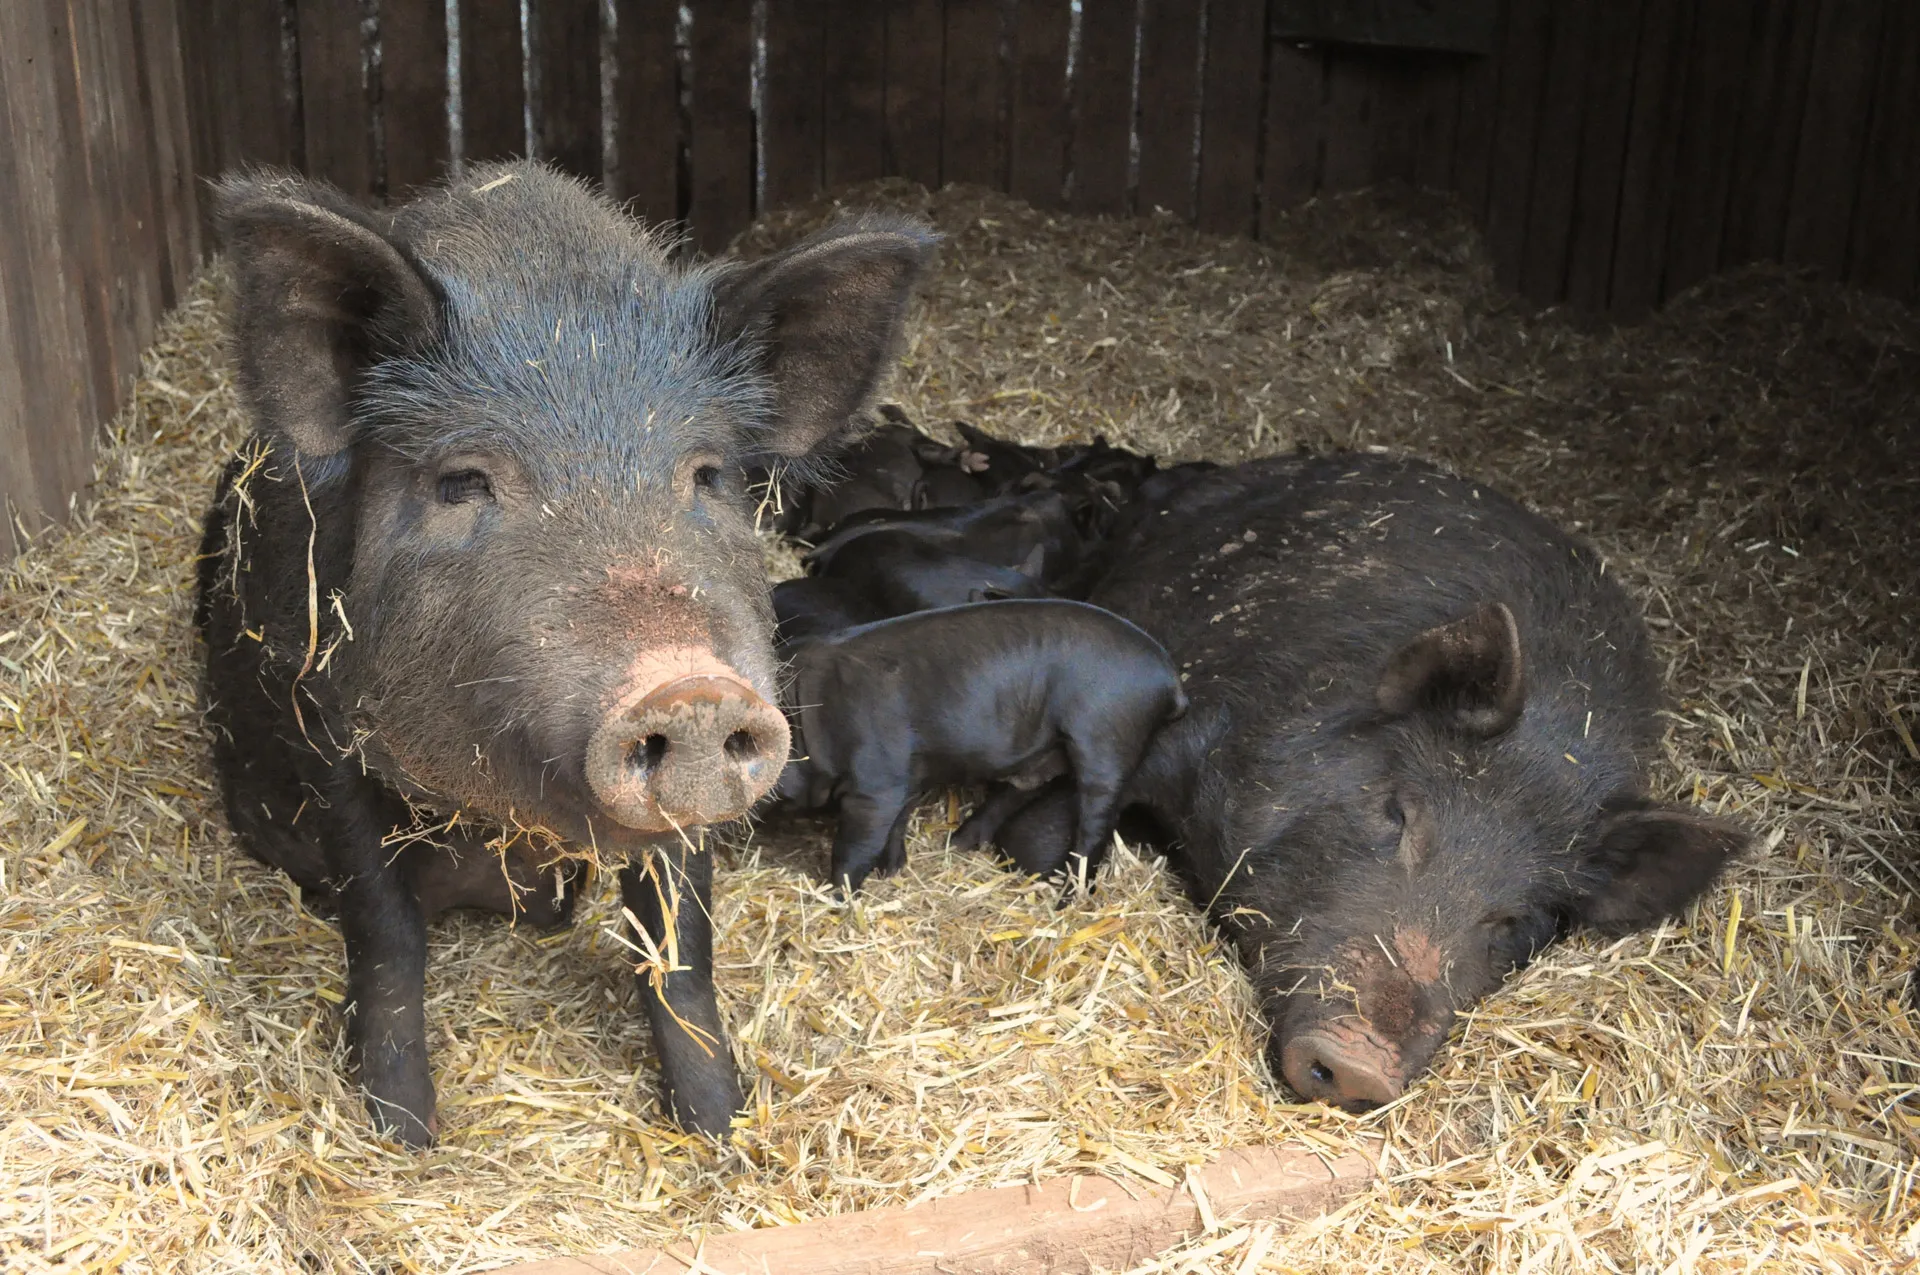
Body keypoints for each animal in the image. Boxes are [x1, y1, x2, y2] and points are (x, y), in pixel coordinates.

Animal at [195, 162, 935, 1145]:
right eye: (462, 481)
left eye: (706, 475)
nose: (688, 688)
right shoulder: (324, 733)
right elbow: (385, 937)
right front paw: (405, 1136)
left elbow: (681, 946)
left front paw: (721, 1130)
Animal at [774, 600, 1188, 893]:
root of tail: (1169, 680)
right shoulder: (909, 773)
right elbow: (897, 824)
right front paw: (892, 871)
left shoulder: (877, 785)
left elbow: (854, 848)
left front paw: (835, 896)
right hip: (1047, 752)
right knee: (1021, 790)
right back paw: (956, 843)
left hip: (1108, 739)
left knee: (1095, 823)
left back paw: (1067, 899)